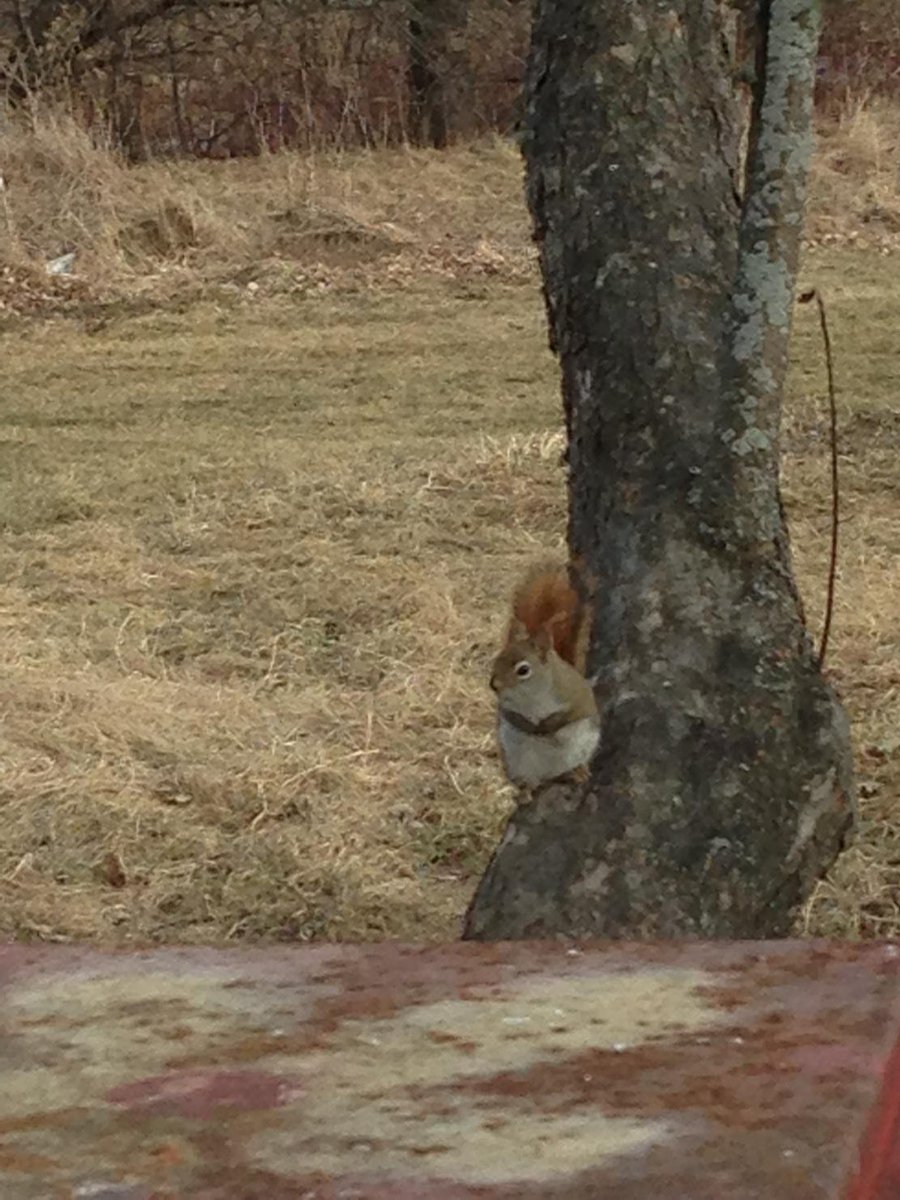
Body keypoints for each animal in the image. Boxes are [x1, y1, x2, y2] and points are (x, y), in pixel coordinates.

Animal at [489, 560, 600, 790]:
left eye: (523, 670)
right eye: (498, 659)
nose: (494, 685)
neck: (533, 694)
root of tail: (550, 775)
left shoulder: (576, 694)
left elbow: (572, 713)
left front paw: (548, 727)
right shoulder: (506, 705)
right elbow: (511, 716)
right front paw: (531, 727)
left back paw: (578, 771)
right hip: (516, 761)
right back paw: (526, 789)